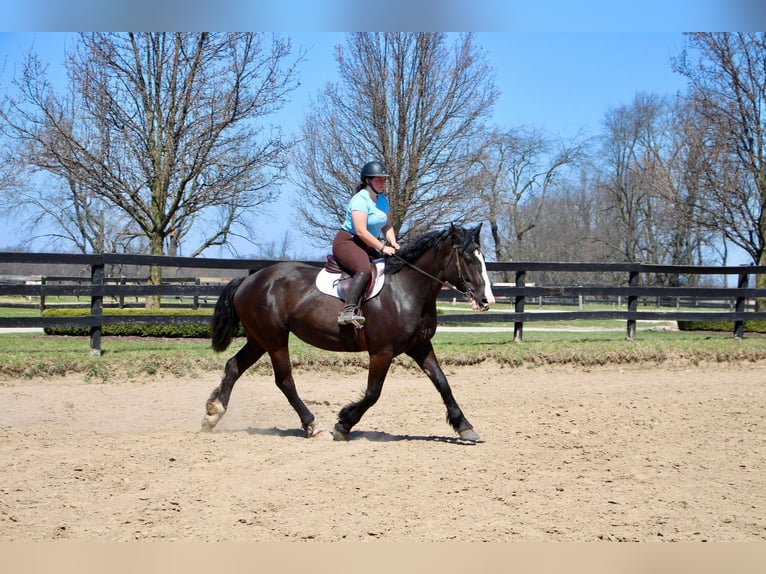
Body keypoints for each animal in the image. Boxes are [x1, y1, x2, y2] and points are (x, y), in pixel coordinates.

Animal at [201, 223, 496, 444]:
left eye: (483, 258)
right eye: (468, 259)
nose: (486, 301)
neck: (407, 289)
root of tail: (249, 279)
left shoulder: (420, 346)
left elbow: (443, 383)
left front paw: (465, 427)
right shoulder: (382, 352)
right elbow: (373, 393)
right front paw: (343, 424)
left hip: (259, 339)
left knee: (233, 367)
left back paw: (213, 413)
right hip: (274, 339)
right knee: (284, 381)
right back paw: (312, 424)